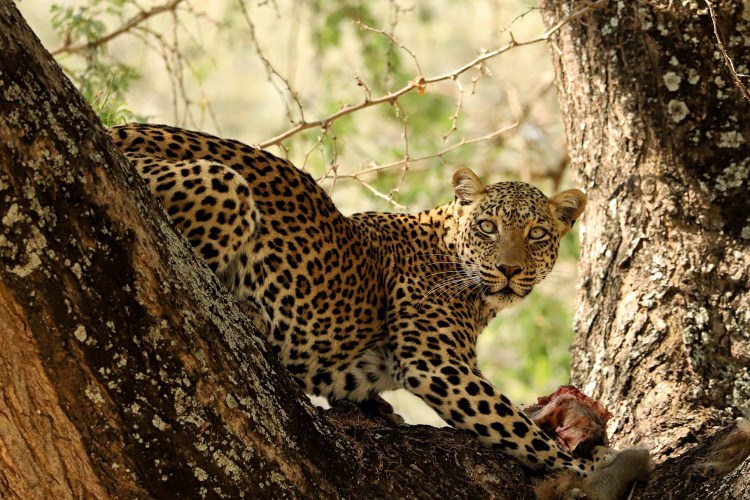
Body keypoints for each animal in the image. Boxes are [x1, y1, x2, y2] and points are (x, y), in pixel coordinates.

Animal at [110, 123, 628, 478]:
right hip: (225, 183)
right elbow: (519, 427)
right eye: (488, 227)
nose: (509, 270)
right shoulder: (439, 364)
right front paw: (593, 469)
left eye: (537, 234)